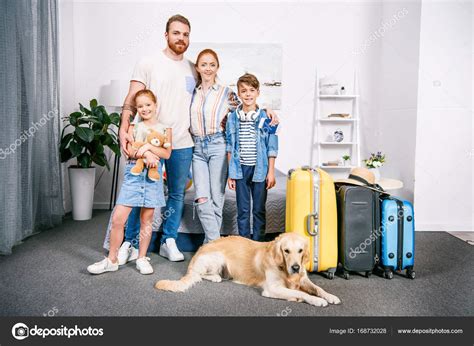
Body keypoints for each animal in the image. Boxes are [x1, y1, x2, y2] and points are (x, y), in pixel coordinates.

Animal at [156, 231, 340, 306]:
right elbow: (302, 293)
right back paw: (215, 277)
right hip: (217, 258)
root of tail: (198, 252)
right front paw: (315, 300)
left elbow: (318, 288)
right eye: (286, 251)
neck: (284, 269)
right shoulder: (272, 288)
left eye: (300, 250)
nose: (295, 267)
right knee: (200, 274)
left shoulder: (303, 279)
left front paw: (330, 296)